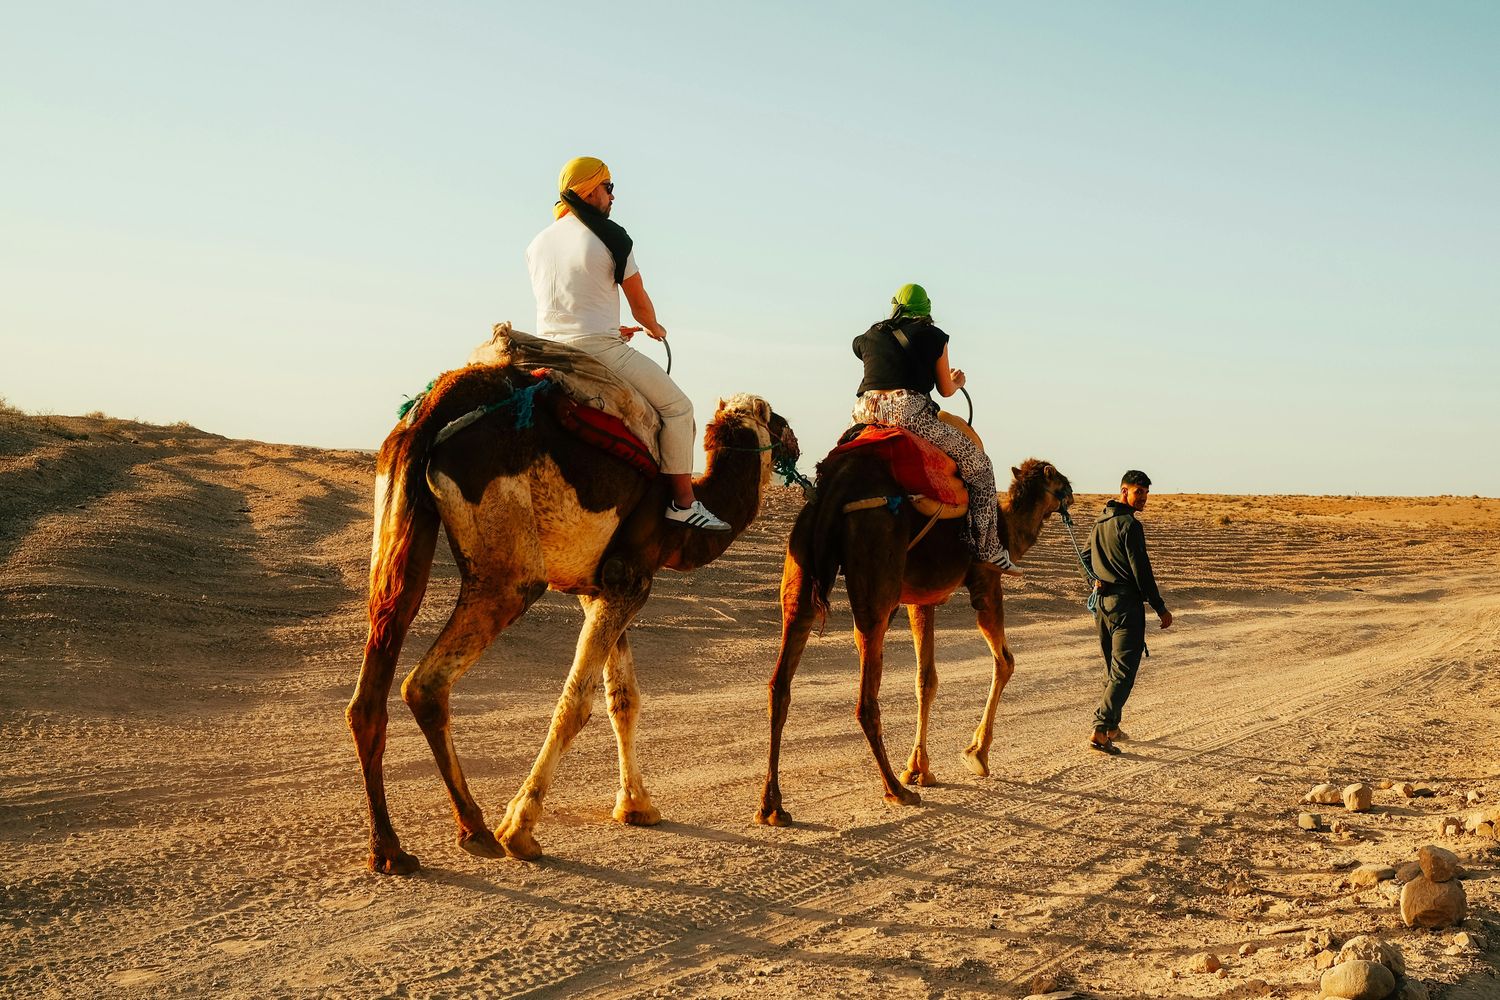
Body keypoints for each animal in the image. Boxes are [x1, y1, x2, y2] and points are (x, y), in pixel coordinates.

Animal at [346, 362, 798, 873]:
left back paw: (391, 848)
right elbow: (576, 704)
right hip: (511, 574)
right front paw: (519, 831)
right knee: (425, 682)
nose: (796, 441)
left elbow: (623, 699)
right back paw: (477, 830)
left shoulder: (600, 586)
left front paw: (637, 806)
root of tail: (428, 417)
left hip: (401, 527)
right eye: (774, 418)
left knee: (373, 680)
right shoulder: (628, 579)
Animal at [756, 451, 1072, 826]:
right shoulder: (986, 580)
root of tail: (837, 485)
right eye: (1059, 480)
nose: (1070, 493)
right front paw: (976, 755)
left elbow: (926, 679)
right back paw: (896, 790)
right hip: (877, 573)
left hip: (803, 562)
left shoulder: (920, 600)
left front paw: (919, 768)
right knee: (865, 699)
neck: (1008, 527)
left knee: (781, 679)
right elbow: (1004, 661)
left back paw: (772, 806)